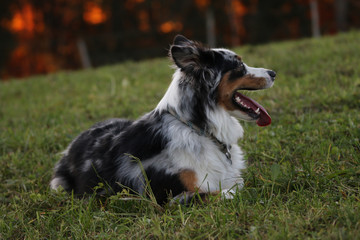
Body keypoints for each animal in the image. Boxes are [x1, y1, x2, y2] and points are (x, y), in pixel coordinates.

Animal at [50, 34, 276, 205]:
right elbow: (232, 191)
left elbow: (239, 183)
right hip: (59, 185)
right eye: (238, 65)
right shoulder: (171, 197)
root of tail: (72, 144)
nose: (273, 72)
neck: (197, 127)